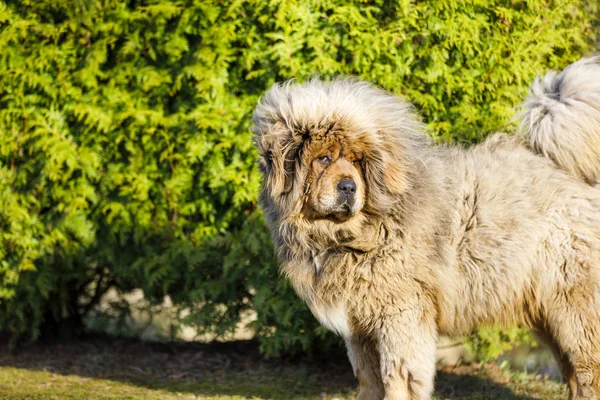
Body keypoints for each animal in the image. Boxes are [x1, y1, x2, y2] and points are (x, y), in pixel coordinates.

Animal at [251, 57, 600, 400]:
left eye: (357, 161)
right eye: (323, 159)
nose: (349, 187)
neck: (349, 234)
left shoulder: (400, 315)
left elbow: (398, 378)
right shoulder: (359, 326)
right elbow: (368, 379)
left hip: (575, 308)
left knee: (588, 370)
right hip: (548, 311)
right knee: (573, 373)